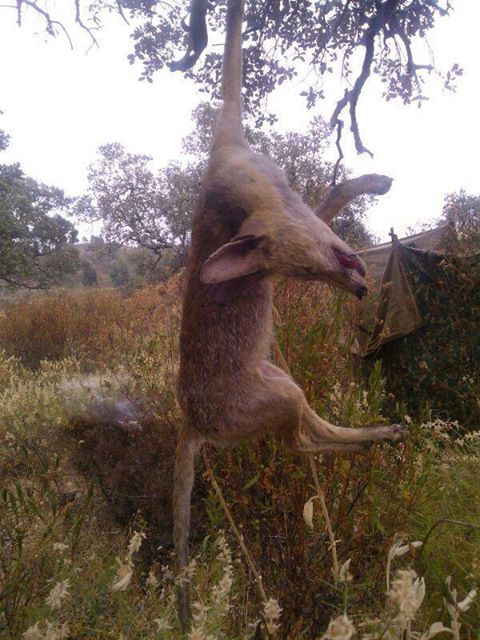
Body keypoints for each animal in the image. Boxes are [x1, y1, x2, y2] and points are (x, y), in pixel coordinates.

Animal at [173, 0, 404, 624]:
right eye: (296, 273)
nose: (358, 289)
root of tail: (191, 421)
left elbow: (329, 199)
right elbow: (335, 193)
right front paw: (377, 179)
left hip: (283, 379)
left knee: (313, 429)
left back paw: (385, 434)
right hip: (278, 398)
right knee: (303, 441)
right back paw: (378, 438)